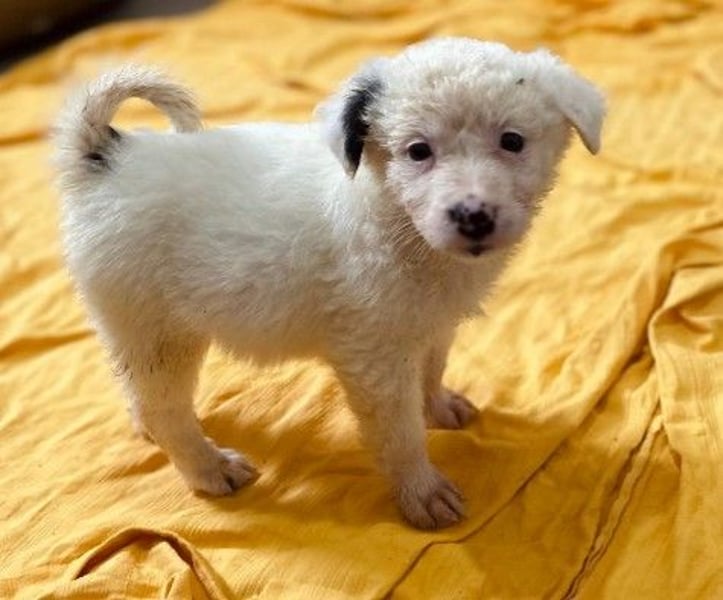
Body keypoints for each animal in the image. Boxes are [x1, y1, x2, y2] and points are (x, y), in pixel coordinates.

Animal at [54, 37, 604, 529]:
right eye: (417, 151)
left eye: (512, 141)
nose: (473, 216)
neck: (395, 222)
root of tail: (105, 160)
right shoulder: (375, 358)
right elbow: (400, 433)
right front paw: (422, 493)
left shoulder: (429, 326)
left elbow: (431, 371)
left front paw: (440, 406)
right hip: (159, 330)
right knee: (163, 408)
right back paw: (209, 467)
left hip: (134, 330)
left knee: (136, 390)